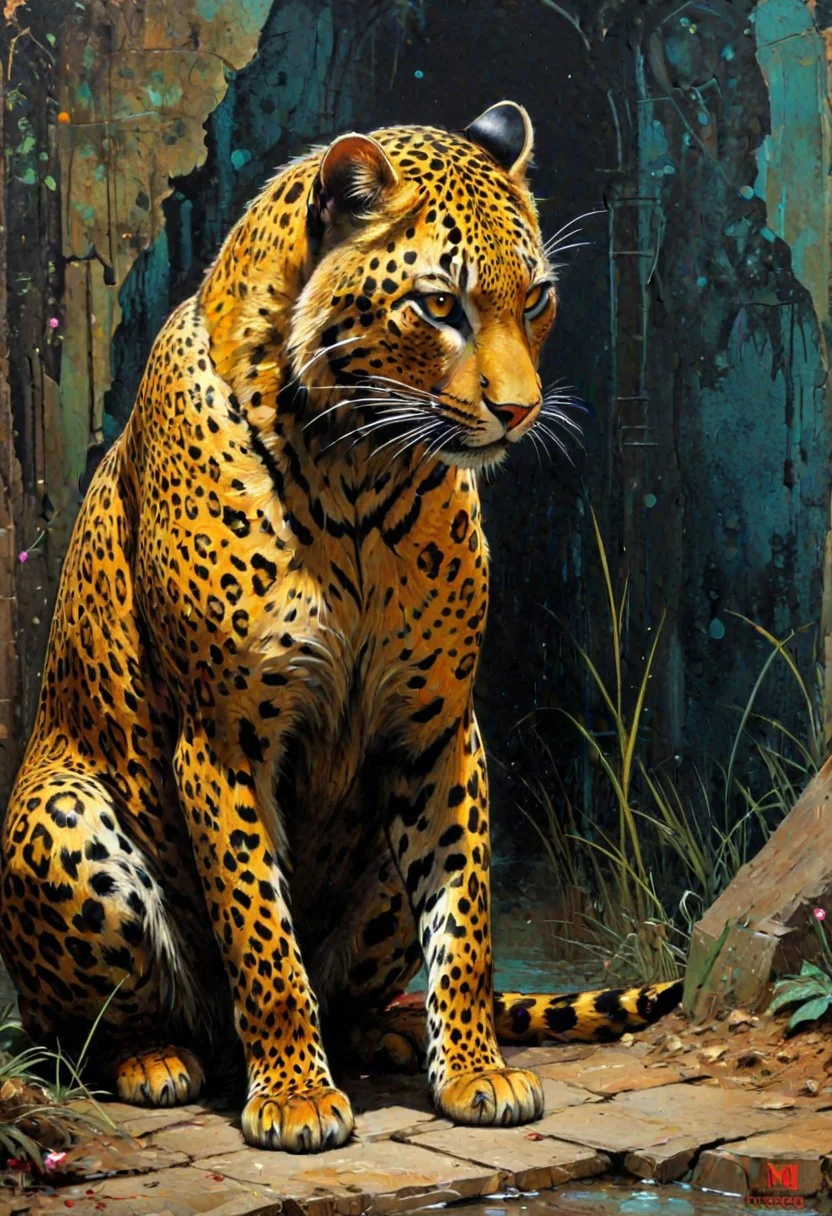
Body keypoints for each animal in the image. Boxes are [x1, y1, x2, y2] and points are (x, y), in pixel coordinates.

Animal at [0, 101, 681, 1154]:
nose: (520, 410)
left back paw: (386, 1035)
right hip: (57, 817)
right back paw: (158, 1059)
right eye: (440, 306)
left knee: (365, 982)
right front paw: (293, 1096)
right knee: (75, 1028)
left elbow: (465, 919)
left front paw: (476, 1072)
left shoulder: (439, 728)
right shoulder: (222, 740)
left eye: (535, 299)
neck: (359, 470)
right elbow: (261, 933)